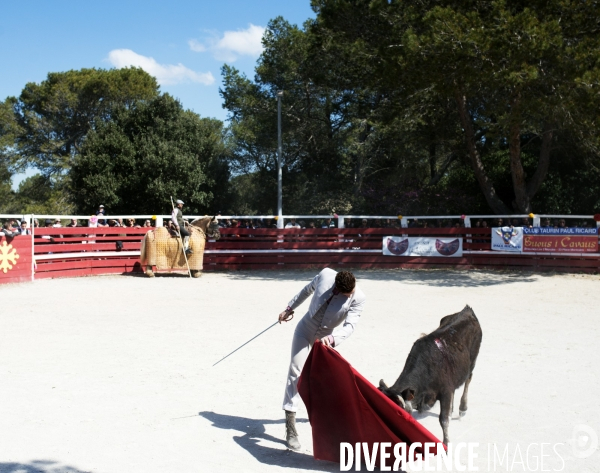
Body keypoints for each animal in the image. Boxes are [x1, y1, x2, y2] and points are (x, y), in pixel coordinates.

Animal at [380, 304, 482, 444]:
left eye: (399, 412)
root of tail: (467, 310)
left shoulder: (445, 391)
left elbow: (443, 419)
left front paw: (446, 443)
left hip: (472, 362)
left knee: (468, 379)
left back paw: (462, 408)